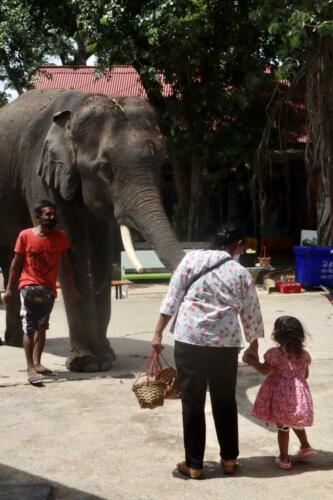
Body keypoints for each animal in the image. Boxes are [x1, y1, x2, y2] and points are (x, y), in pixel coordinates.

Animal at [0, 89, 183, 372]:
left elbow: (101, 249)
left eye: (161, 161)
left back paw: (16, 342)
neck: (75, 108)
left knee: (10, 257)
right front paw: (86, 363)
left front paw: (106, 357)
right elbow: (69, 247)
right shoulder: (41, 173)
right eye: (103, 169)